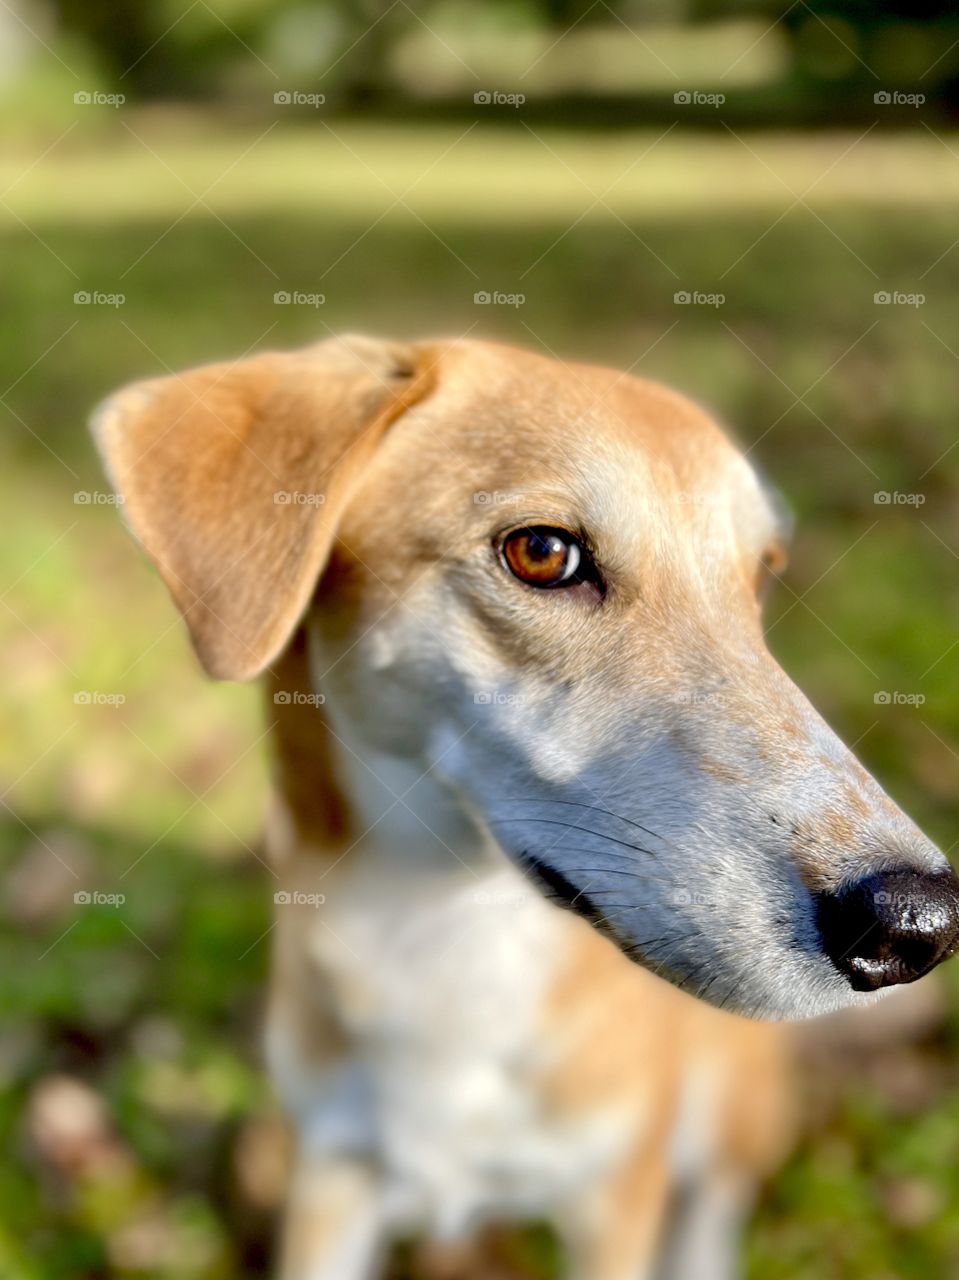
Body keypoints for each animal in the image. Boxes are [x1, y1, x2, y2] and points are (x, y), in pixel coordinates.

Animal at [91, 335, 957, 1274]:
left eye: (759, 577)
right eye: (541, 553)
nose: (918, 925)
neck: (441, 934)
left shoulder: (614, 1193)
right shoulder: (331, 1176)